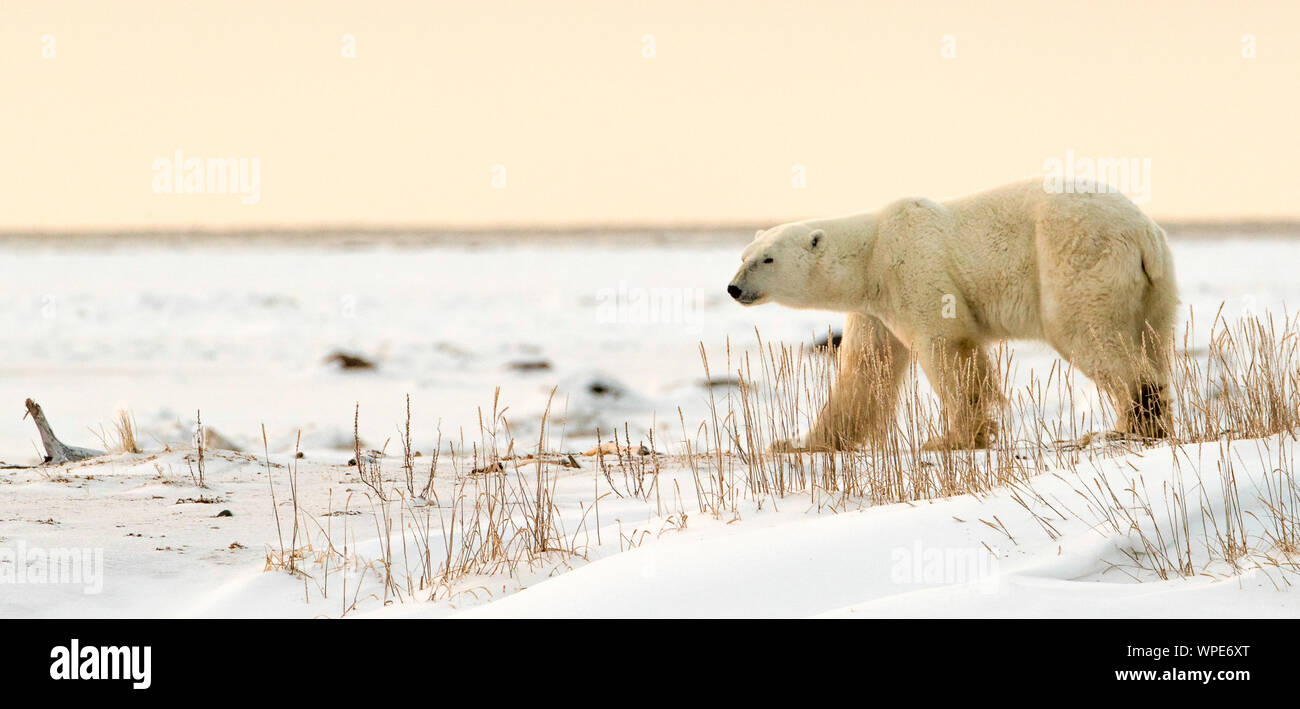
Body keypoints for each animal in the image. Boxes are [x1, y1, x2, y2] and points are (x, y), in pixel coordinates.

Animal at [728, 179, 1185, 450]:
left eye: (767, 259)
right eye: (744, 255)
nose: (734, 288)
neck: (871, 253)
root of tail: (1144, 232)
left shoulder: (914, 268)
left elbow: (948, 350)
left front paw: (953, 438)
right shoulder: (874, 308)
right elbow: (865, 368)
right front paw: (801, 442)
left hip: (1077, 259)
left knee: (1087, 333)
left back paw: (1129, 425)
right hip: (1157, 289)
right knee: (1153, 339)